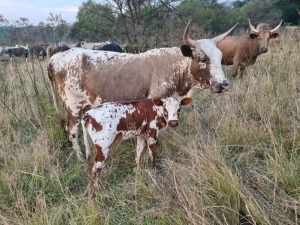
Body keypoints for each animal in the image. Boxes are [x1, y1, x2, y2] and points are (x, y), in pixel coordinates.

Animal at [47, 19, 239, 160]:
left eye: (220, 57)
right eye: (203, 59)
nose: (224, 84)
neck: (175, 67)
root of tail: (57, 57)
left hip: (85, 105)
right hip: (73, 105)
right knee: (72, 130)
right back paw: (80, 158)